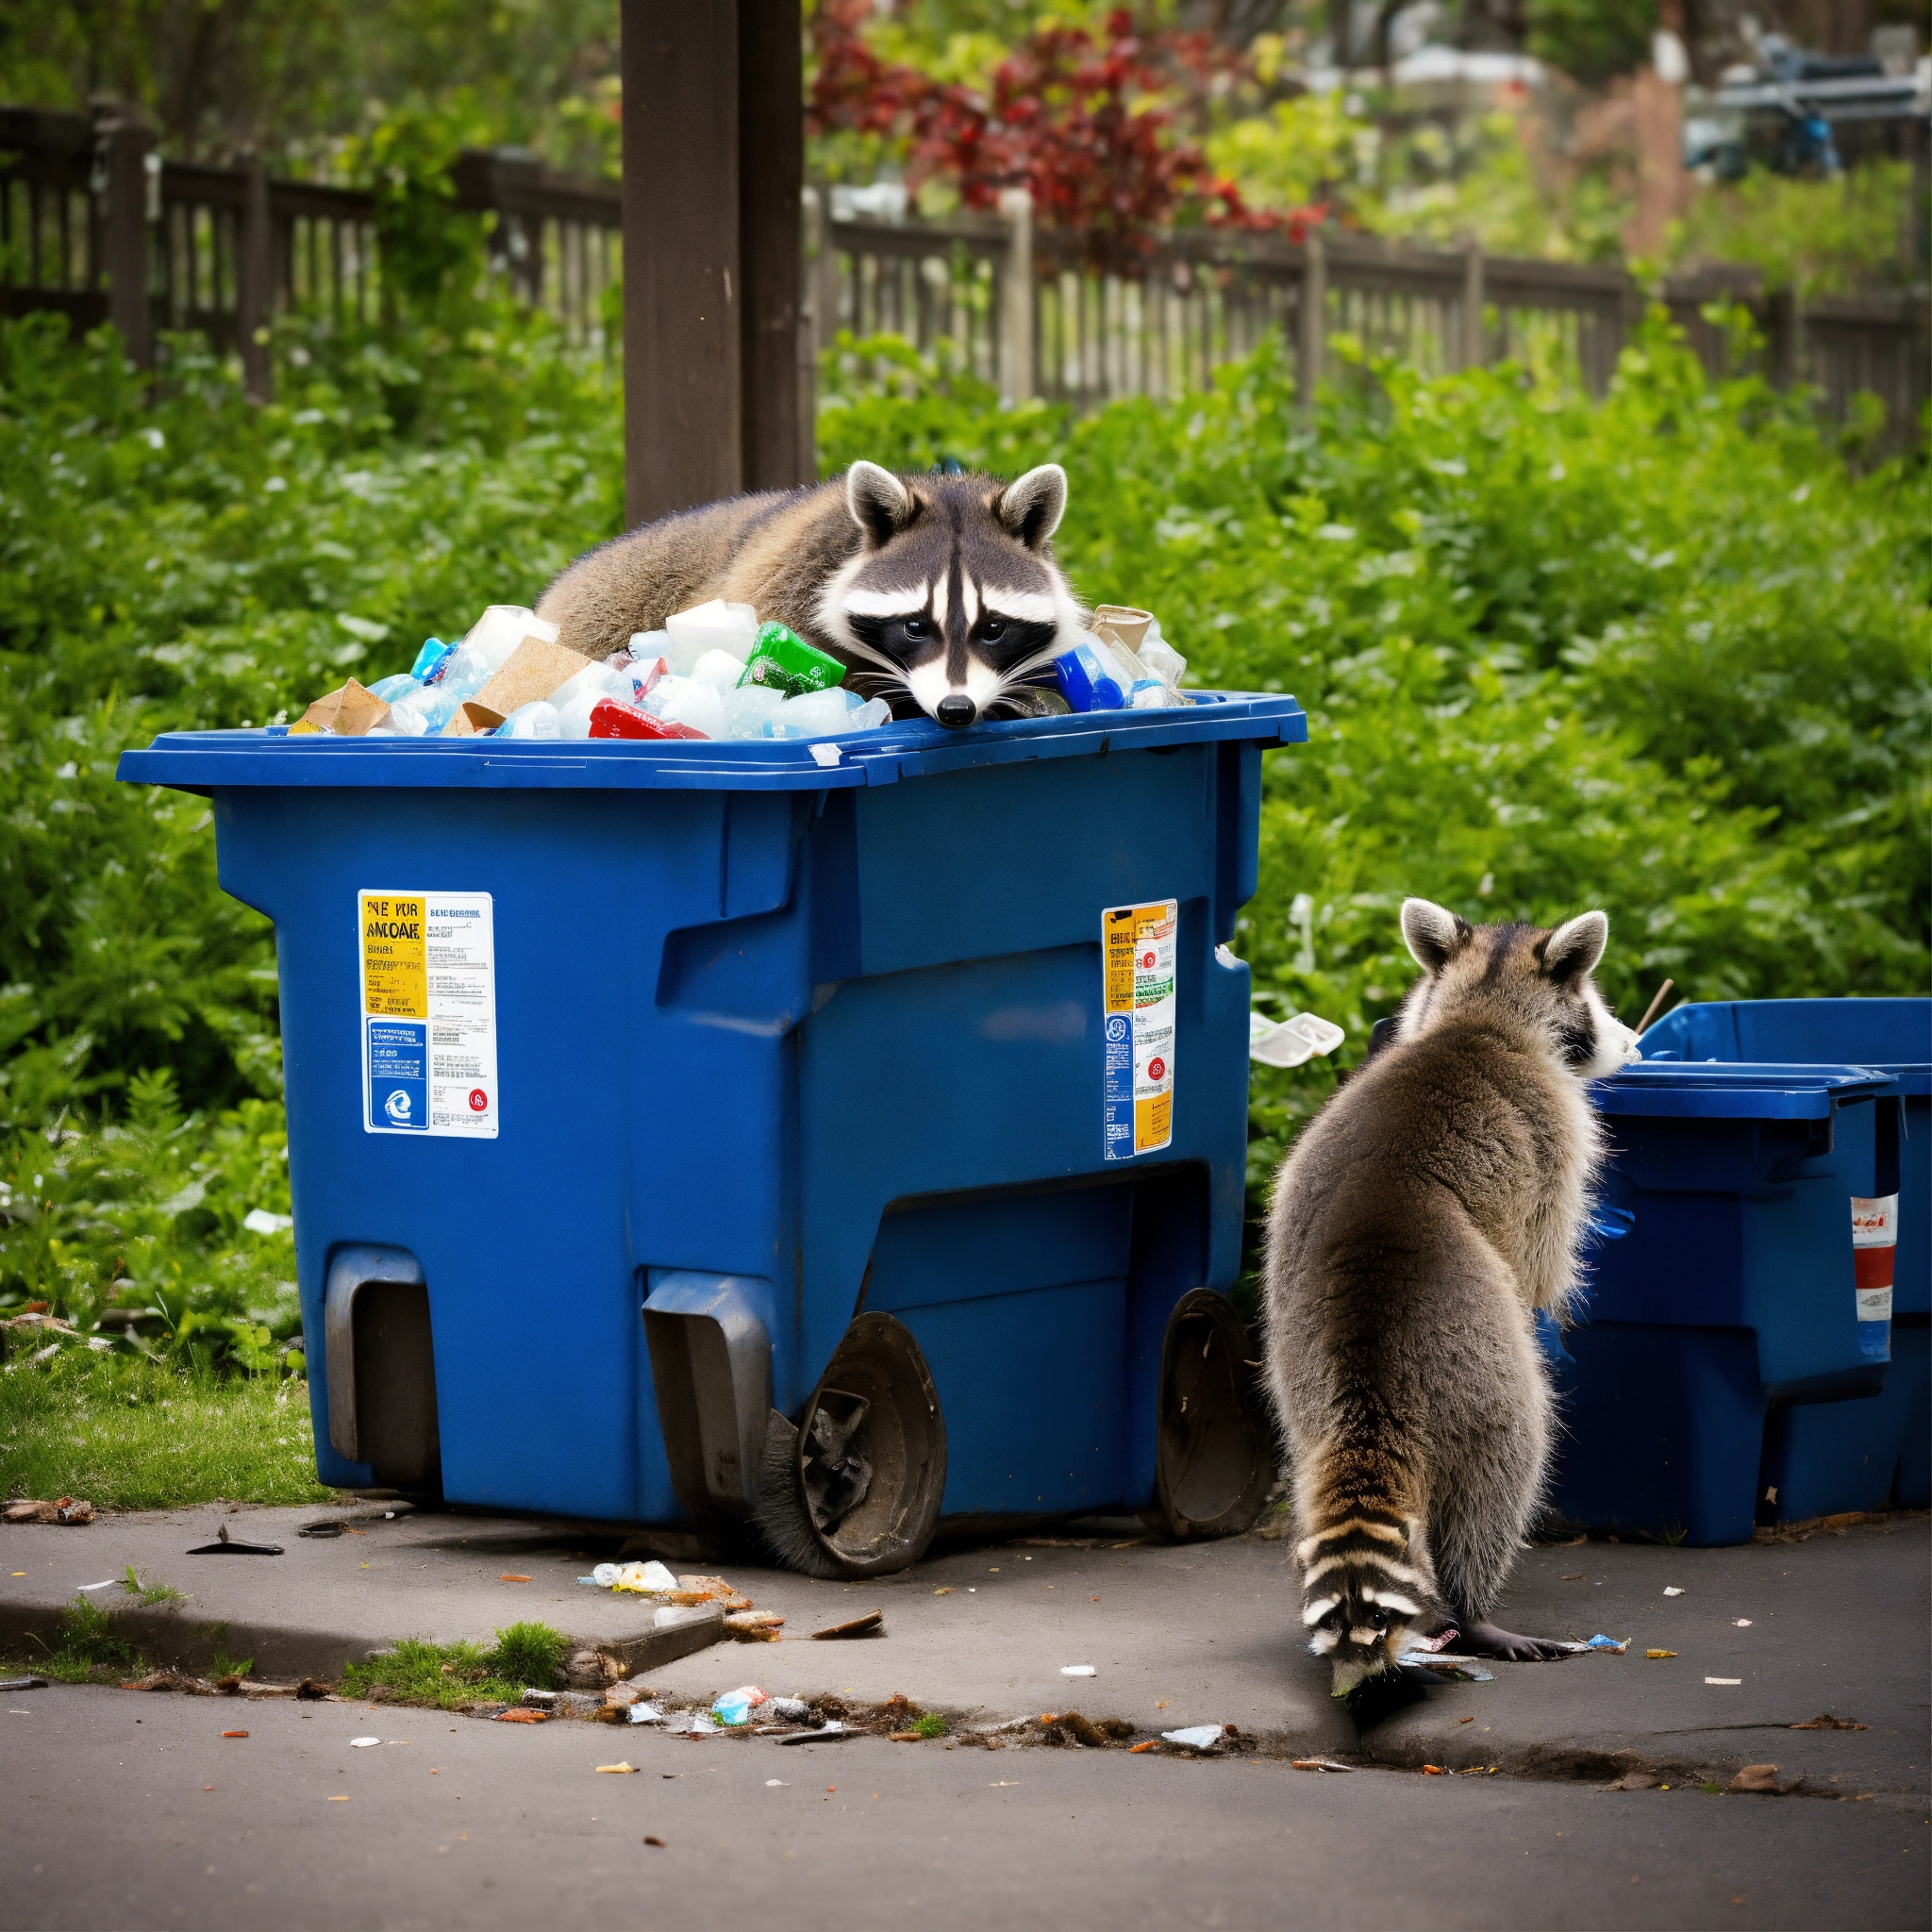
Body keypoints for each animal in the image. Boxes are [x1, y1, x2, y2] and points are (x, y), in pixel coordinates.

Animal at [1262, 899, 1640, 1692]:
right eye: (1595, 998)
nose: (1635, 1042)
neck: (1483, 1010)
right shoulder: (1552, 1137)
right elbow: (1539, 1267)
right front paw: (1549, 1312)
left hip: (1297, 1382)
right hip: (1477, 1370)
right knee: (1508, 1462)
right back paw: (1471, 1608)